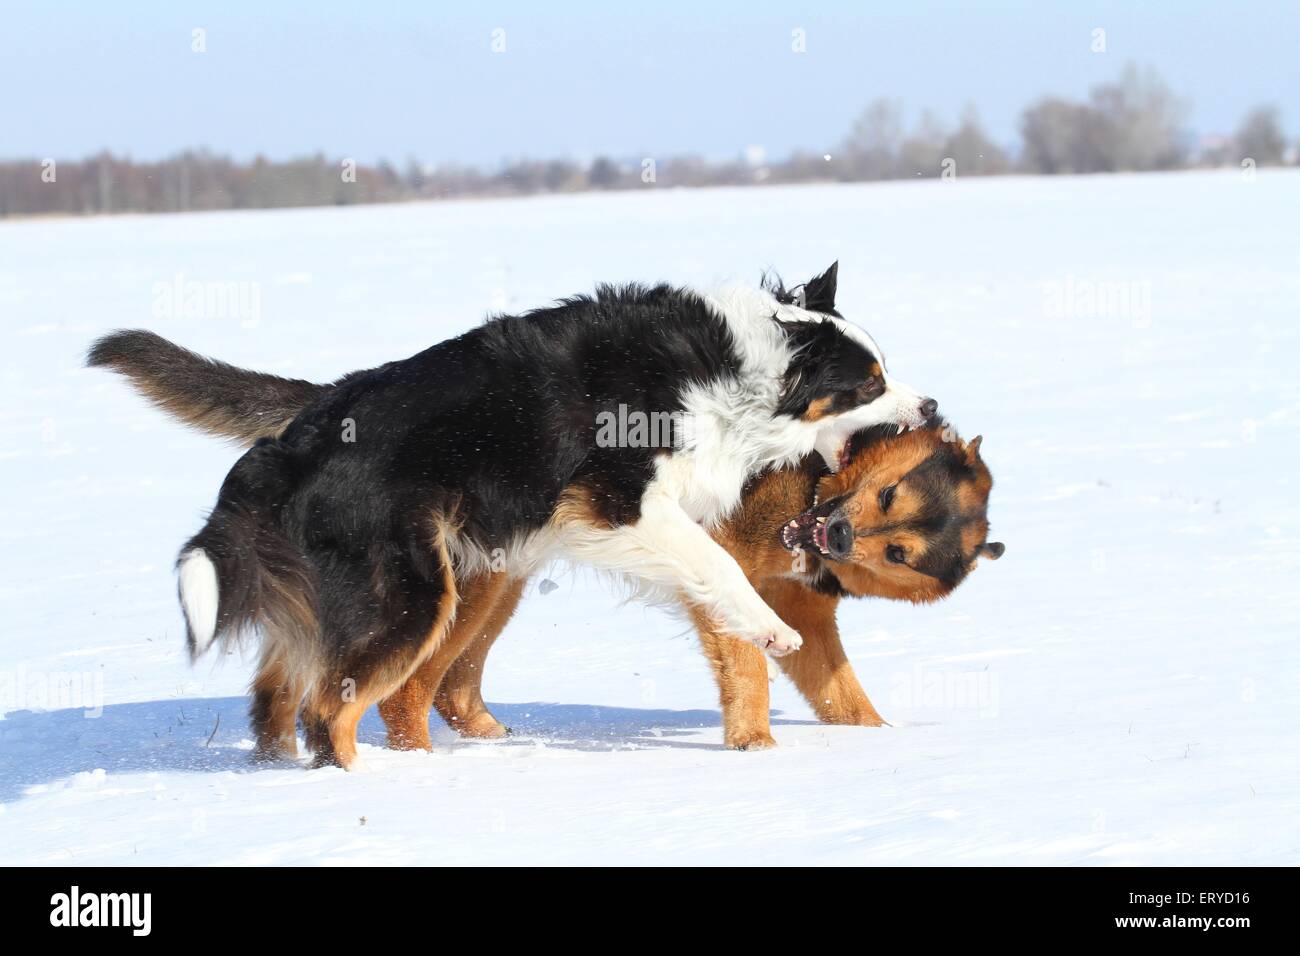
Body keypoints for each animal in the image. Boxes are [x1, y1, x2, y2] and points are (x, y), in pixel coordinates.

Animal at [379, 421, 1003, 749]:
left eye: (899, 552)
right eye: (890, 493)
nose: (841, 535)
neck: (815, 480)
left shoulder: (799, 607)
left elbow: (839, 688)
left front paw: (876, 738)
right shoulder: (725, 558)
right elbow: (749, 667)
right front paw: (756, 746)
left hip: (503, 580)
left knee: (451, 689)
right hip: (477, 583)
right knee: (404, 693)